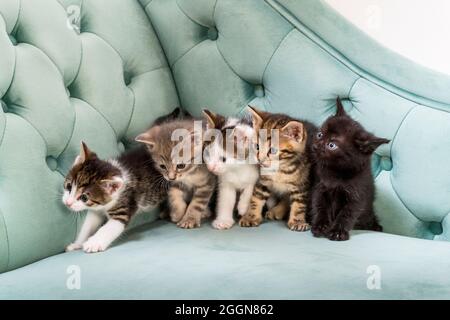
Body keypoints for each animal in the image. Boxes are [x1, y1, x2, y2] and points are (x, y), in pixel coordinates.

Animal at [310, 97, 390, 240]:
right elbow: (320, 207)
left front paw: (337, 231)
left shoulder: (357, 195)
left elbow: (347, 214)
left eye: (331, 145)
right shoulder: (320, 188)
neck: (337, 173)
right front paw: (320, 225)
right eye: (320, 135)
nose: (315, 146)